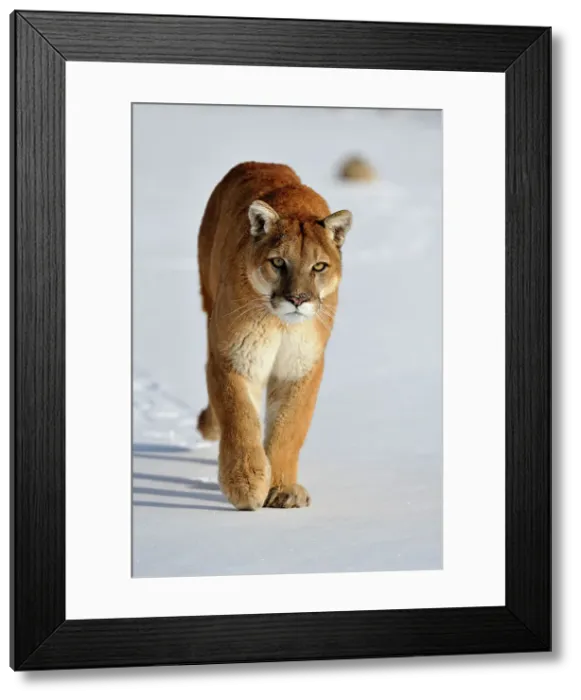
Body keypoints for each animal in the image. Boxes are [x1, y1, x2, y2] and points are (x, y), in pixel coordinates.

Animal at [196, 161, 352, 511]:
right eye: (278, 262)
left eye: (318, 266)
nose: (297, 299)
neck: (281, 326)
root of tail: (258, 163)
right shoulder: (234, 357)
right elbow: (240, 417)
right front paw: (245, 484)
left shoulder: (301, 367)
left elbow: (288, 428)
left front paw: (282, 489)